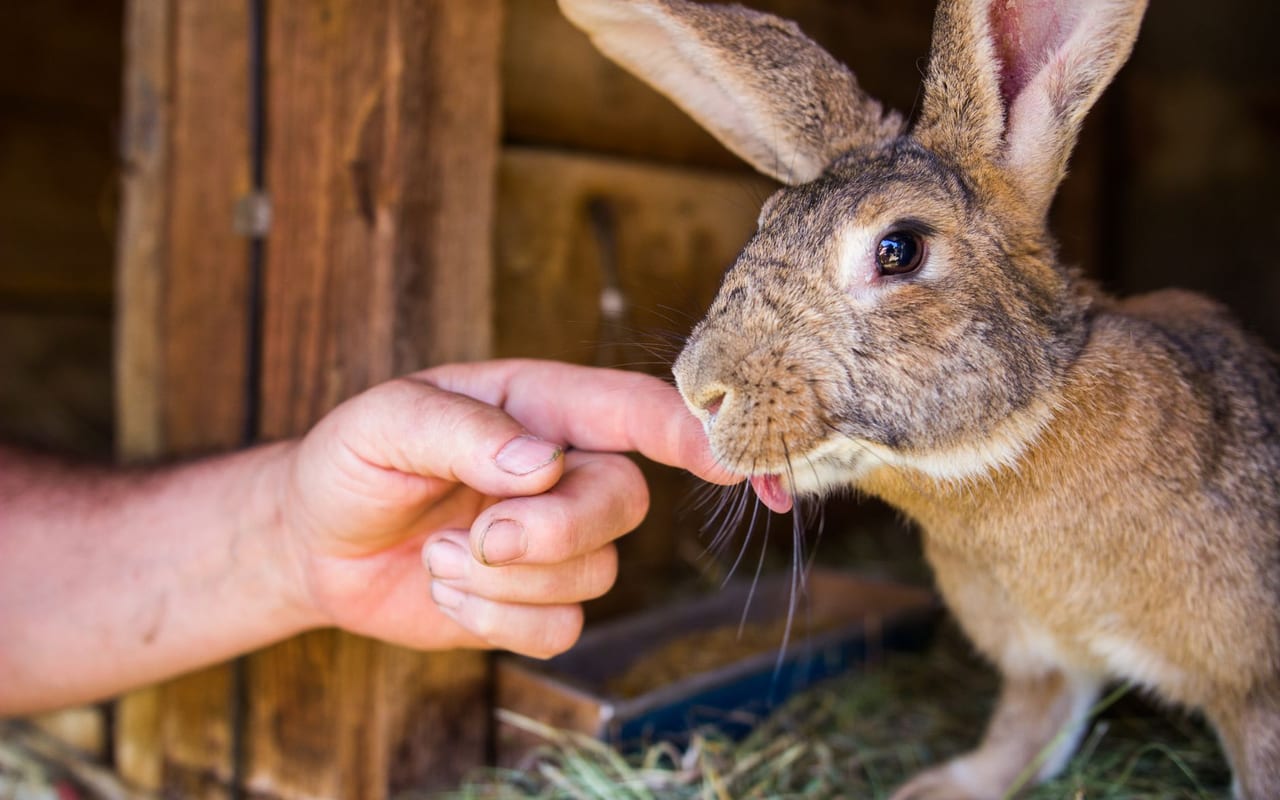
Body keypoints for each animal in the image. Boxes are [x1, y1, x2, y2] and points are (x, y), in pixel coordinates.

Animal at [557, 0, 1280, 797]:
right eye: (766, 224)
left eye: (899, 249)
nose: (700, 389)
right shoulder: (1044, 660)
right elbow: (1026, 727)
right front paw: (939, 787)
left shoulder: (1257, 689)